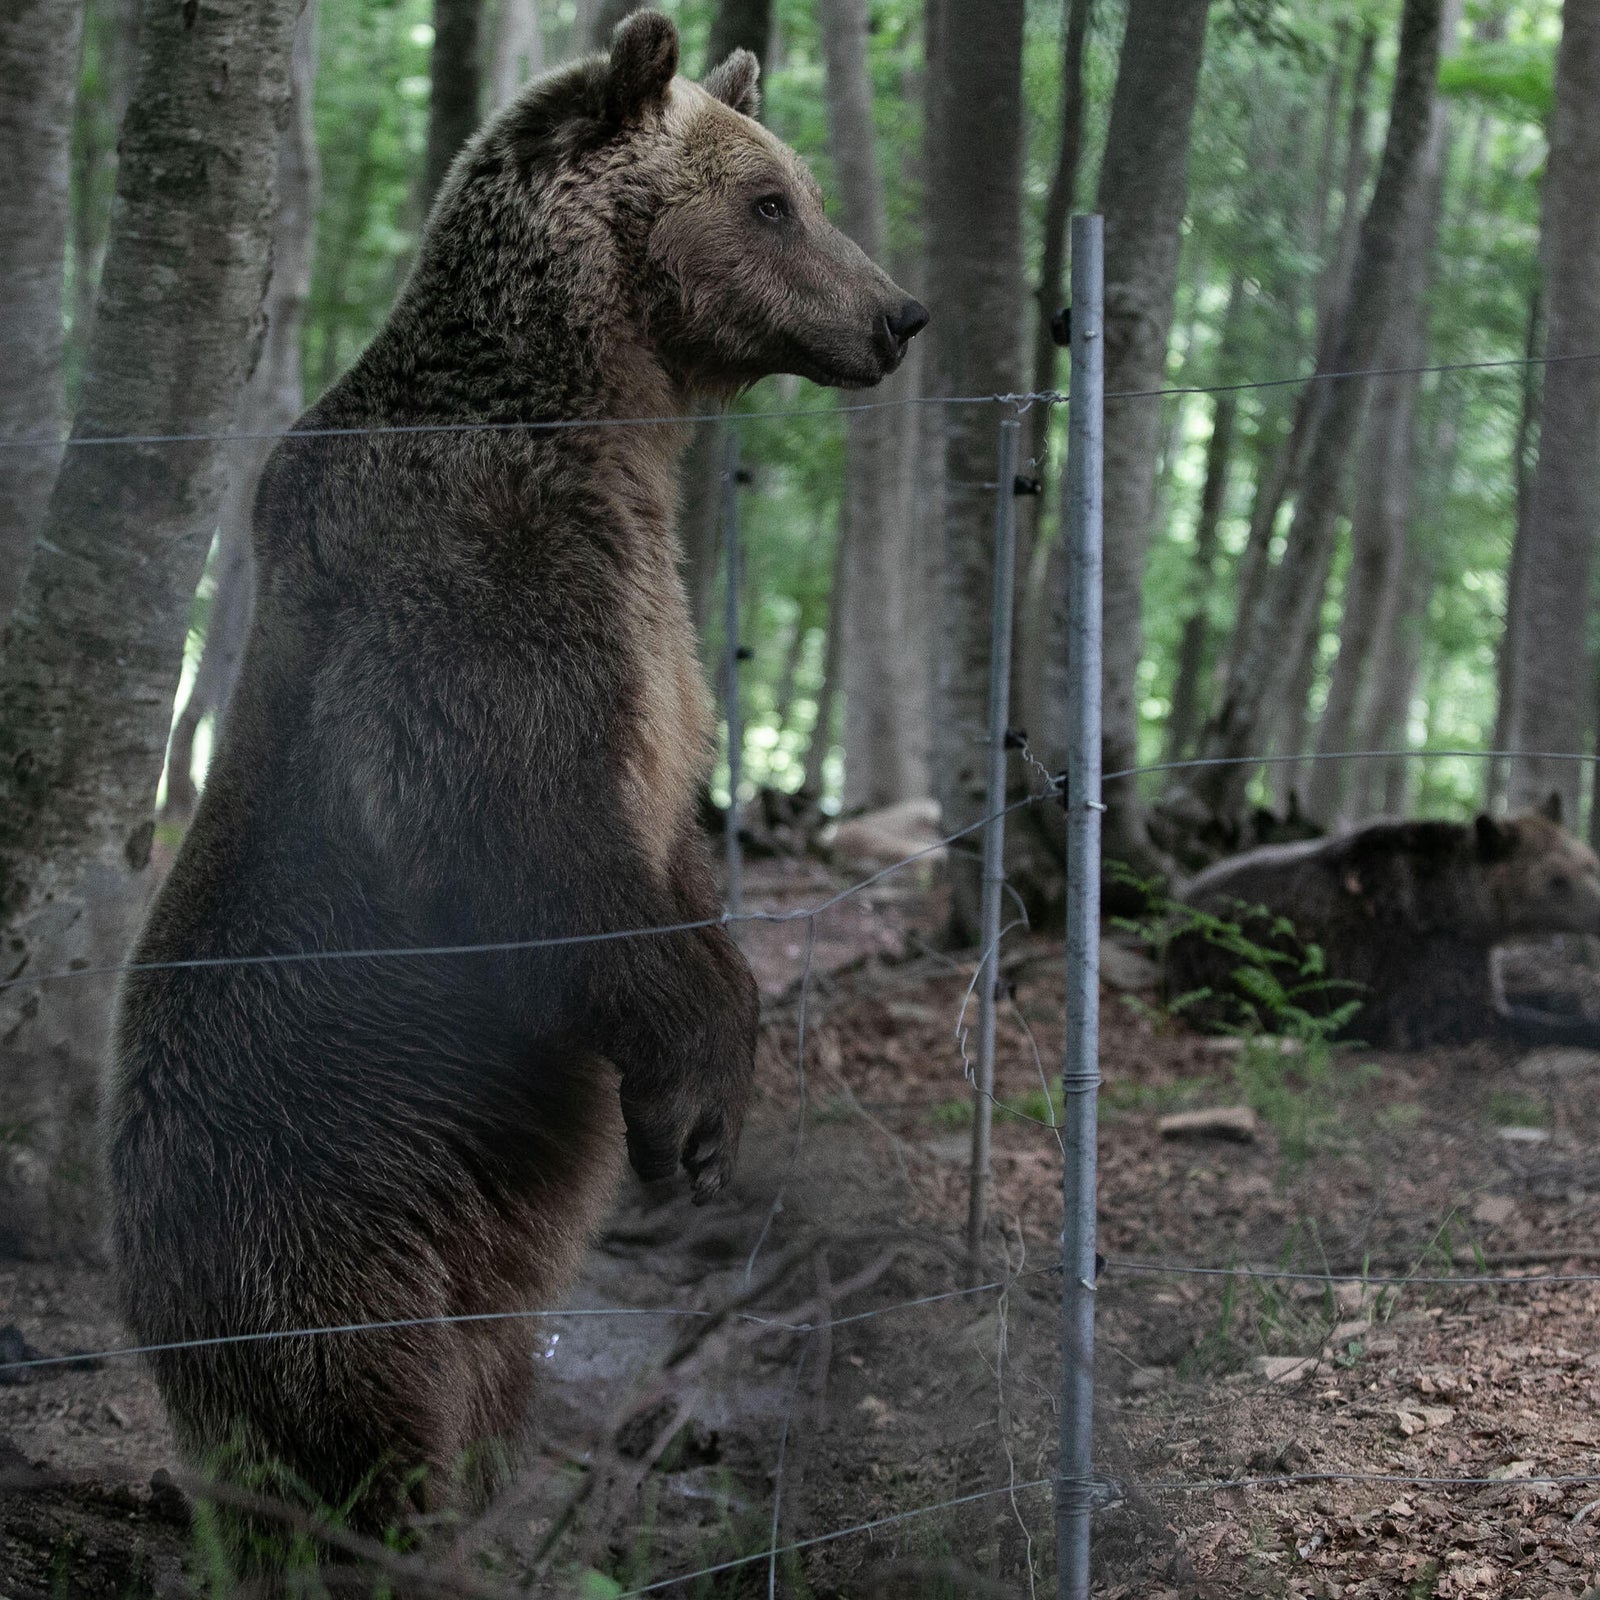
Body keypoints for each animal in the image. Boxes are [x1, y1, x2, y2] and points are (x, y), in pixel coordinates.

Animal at [105, 10, 926, 1551]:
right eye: (772, 200)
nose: (900, 314)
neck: (591, 413)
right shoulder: (482, 581)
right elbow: (526, 836)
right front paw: (697, 1111)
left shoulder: (652, 624)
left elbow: (665, 834)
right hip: (317, 1184)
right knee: (350, 1395)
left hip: (480, 1235)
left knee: (480, 1377)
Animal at [1163, 796, 1600, 1048]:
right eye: (1557, 880)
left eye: (1589, 863)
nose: (1598, 908)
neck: (1469, 911)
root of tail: (1175, 909)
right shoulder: (1428, 962)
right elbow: (1481, 1016)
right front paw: (1579, 1024)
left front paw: (1560, 996)